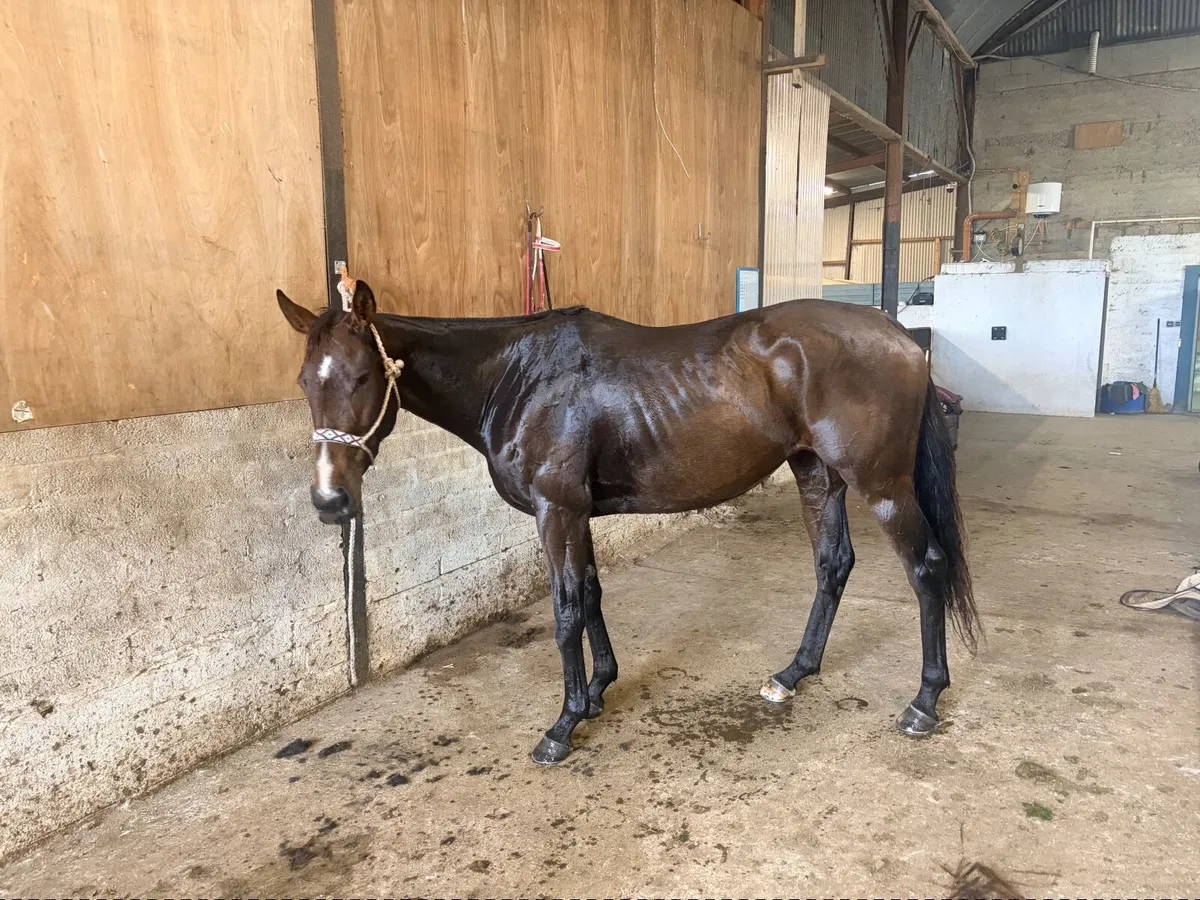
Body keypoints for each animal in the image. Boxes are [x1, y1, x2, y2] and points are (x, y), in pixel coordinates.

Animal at [275, 278, 978, 765]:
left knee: (926, 569)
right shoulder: (576, 514)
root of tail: (899, 336)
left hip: (882, 486)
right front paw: (597, 693)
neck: (518, 376)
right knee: (833, 565)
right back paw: (792, 674)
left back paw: (924, 701)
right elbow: (590, 595)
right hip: (816, 475)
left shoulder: (556, 511)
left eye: (362, 376)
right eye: (306, 381)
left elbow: (564, 611)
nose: (330, 501)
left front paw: (562, 726)